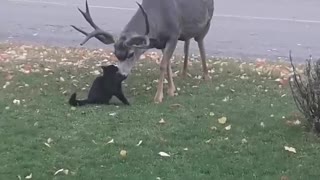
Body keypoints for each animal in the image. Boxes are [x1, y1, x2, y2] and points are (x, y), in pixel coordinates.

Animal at [71, 0, 214, 103]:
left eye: (131, 53)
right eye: (115, 54)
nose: (120, 75)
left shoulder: (174, 34)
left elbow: (162, 65)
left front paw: (159, 97)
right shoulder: (161, 42)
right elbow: (167, 63)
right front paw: (172, 90)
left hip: (207, 22)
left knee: (200, 43)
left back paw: (206, 75)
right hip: (187, 32)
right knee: (187, 42)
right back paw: (184, 73)